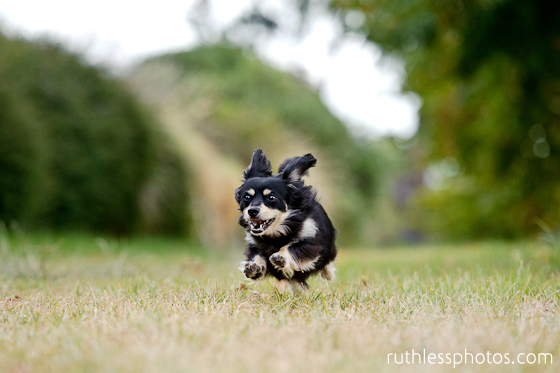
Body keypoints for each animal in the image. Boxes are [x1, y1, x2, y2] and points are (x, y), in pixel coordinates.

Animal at [235, 148, 336, 290]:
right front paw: (254, 267)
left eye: (271, 197)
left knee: (328, 261)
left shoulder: (311, 242)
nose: (252, 211)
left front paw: (280, 257)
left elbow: (292, 247)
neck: (276, 235)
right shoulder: (255, 245)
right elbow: (257, 255)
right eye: (247, 197)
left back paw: (328, 274)